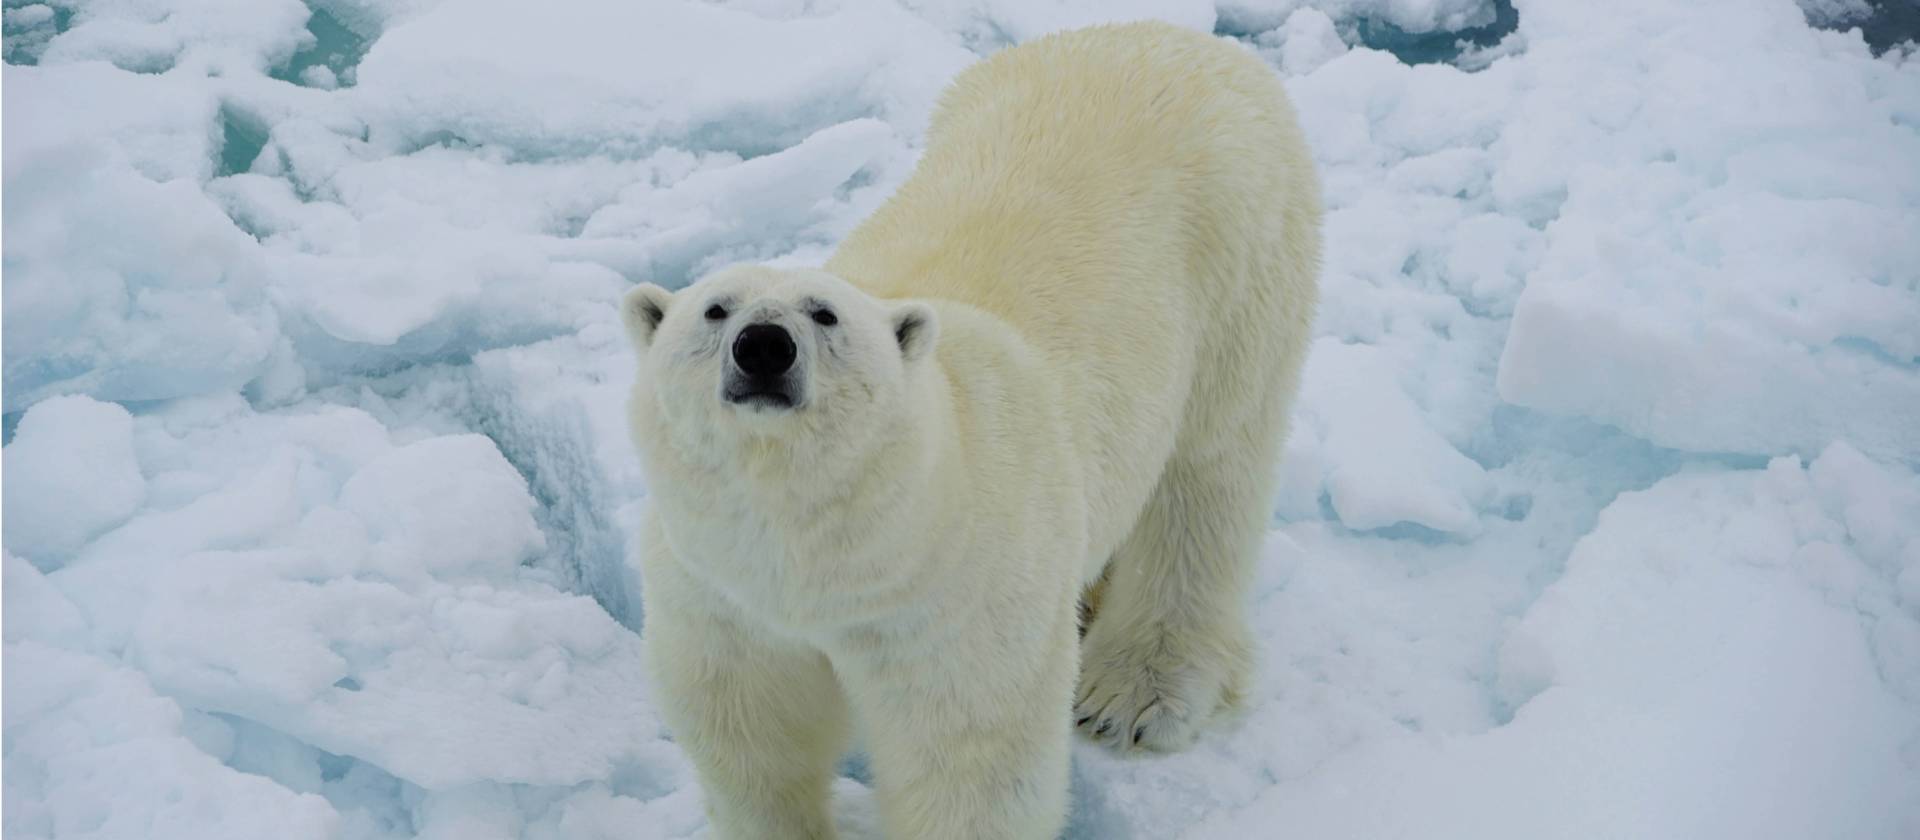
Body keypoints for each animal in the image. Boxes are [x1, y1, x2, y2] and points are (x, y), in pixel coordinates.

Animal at [620, 21, 1320, 840]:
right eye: (716, 309)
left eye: (825, 315)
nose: (764, 347)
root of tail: (1178, 36)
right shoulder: (721, 593)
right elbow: (749, 734)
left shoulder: (960, 595)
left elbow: (970, 757)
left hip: (1242, 261)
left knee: (1208, 475)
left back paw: (1136, 693)